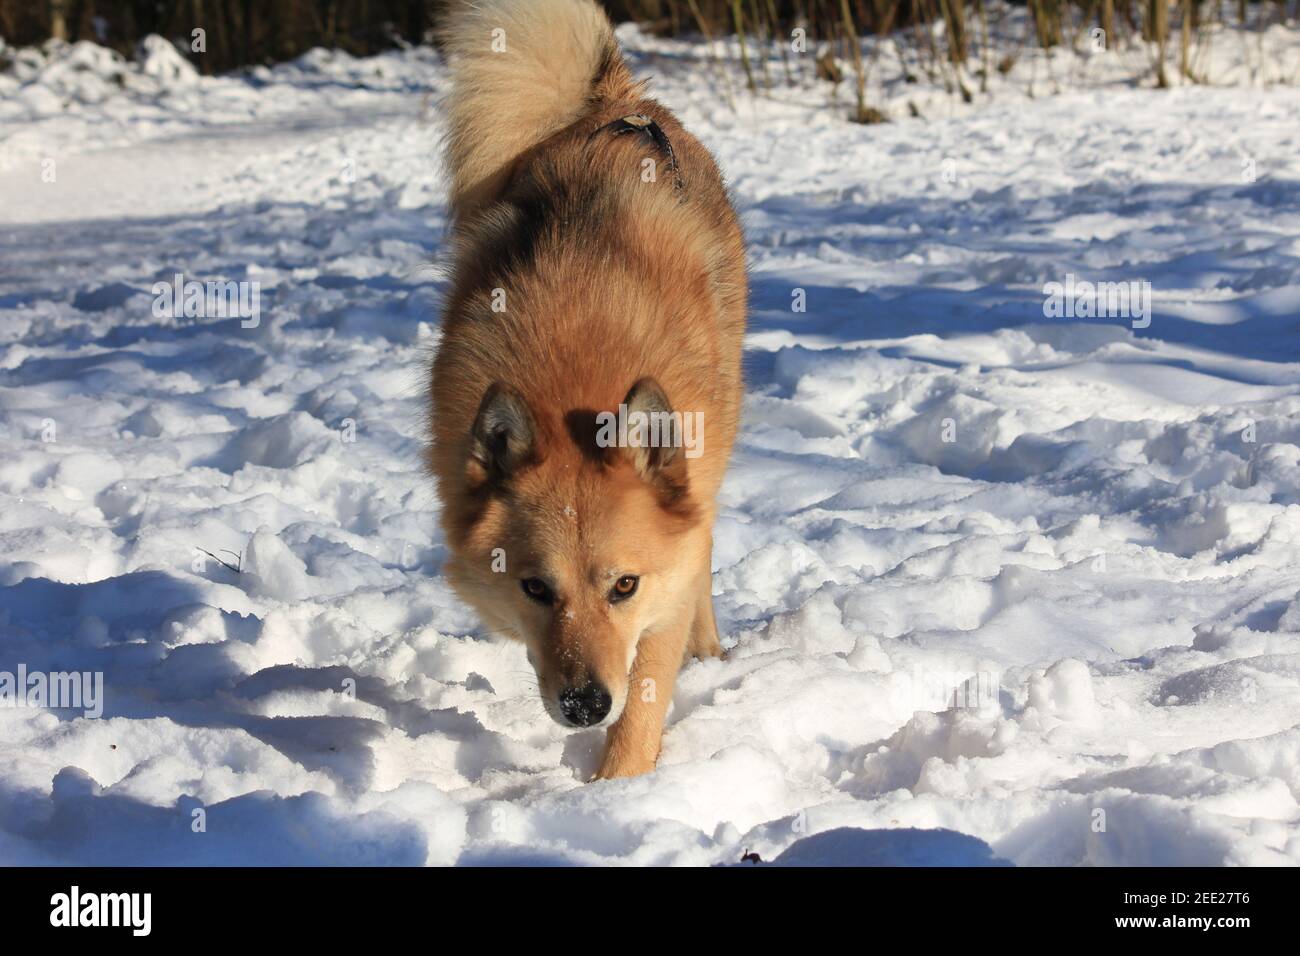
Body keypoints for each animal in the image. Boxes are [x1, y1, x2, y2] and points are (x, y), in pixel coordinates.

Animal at [428, 0, 748, 780]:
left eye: (623, 586)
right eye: (537, 589)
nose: (582, 706)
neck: (575, 378)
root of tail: (615, 106)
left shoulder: (662, 584)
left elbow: (648, 689)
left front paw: (616, 790)